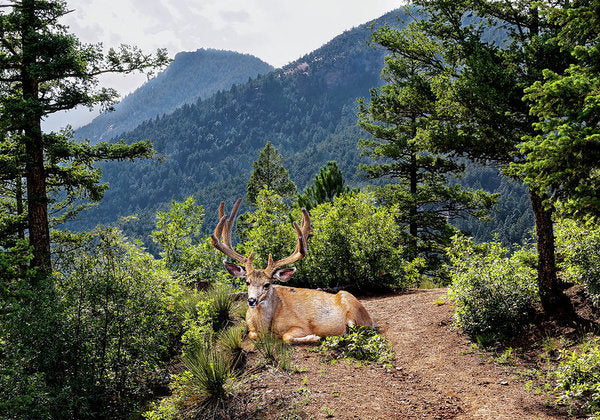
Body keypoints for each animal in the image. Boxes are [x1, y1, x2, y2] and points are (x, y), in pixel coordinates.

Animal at [209, 199, 372, 342]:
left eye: (267, 284)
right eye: (247, 282)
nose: (251, 300)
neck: (264, 325)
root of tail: (369, 318)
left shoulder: (301, 325)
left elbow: (286, 337)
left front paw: (314, 337)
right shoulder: (251, 327)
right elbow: (252, 334)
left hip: (352, 307)